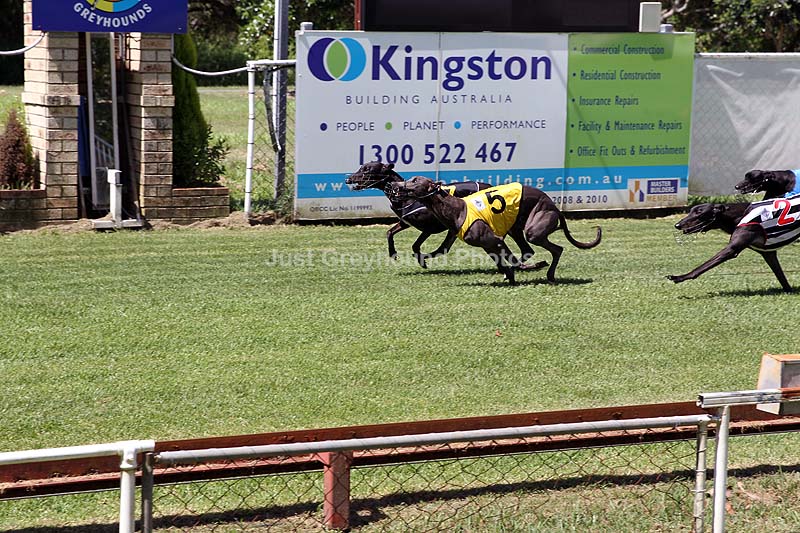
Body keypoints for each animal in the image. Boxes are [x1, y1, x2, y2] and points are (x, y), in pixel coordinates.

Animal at [346, 161, 542, 269]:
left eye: (367, 169)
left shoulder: (429, 228)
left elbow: (416, 246)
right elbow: (390, 232)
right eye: (361, 167)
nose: (348, 179)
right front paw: (393, 253)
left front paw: (421, 261)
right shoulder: (406, 222)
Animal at [389, 175, 601, 285]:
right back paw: (547, 274)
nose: (394, 184)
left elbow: (513, 262)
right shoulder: (488, 245)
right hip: (517, 227)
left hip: (534, 228)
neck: (457, 208)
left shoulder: (495, 240)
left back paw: (546, 272)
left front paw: (528, 268)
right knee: (535, 250)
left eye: (415, 180)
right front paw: (511, 276)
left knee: (553, 248)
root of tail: (555, 206)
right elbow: (507, 263)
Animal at [668, 200, 798, 292]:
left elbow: (702, 267)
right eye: (690, 211)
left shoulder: (731, 249)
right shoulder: (768, 253)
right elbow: (780, 275)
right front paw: (789, 291)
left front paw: (679, 277)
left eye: (699, 212)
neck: (740, 215)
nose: (677, 225)